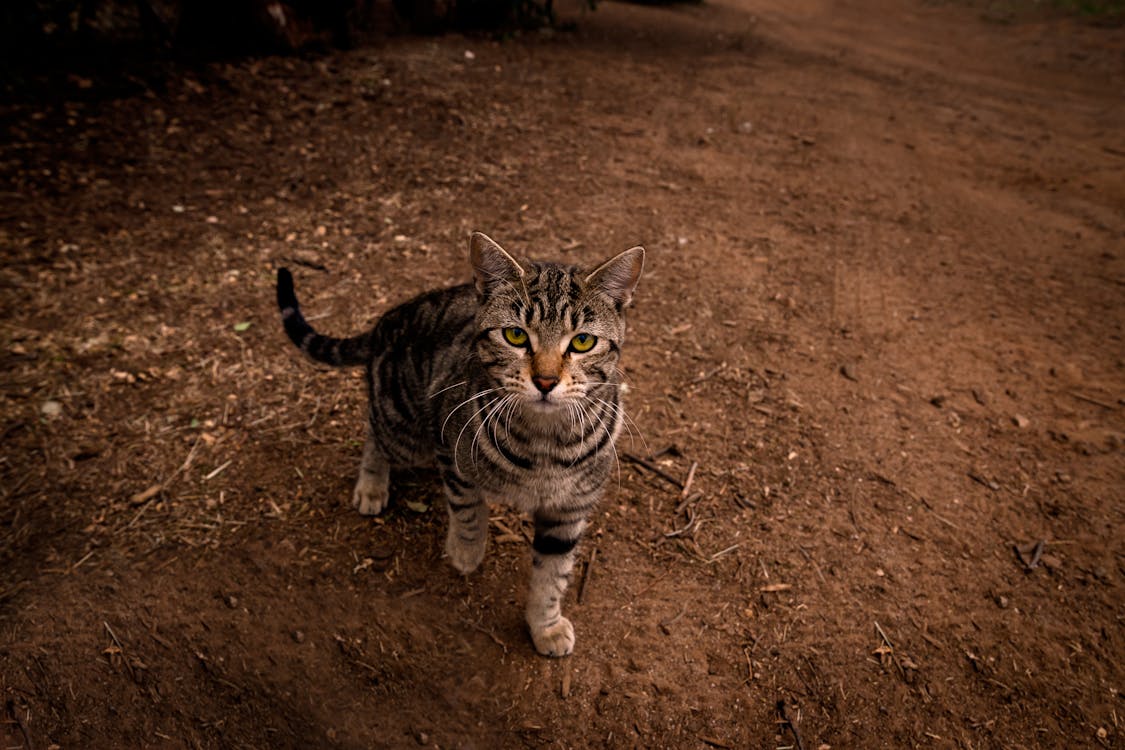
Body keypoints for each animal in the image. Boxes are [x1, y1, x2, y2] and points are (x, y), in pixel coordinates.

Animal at [274, 232, 643, 656]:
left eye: (582, 342)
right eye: (515, 335)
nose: (546, 381)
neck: (544, 442)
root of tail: (389, 319)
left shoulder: (569, 510)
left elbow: (552, 577)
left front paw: (545, 625)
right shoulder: (450, 451)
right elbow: (467, 509)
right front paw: (466, 552)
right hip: (406, 432)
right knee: (373, 428)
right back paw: (371, 484)